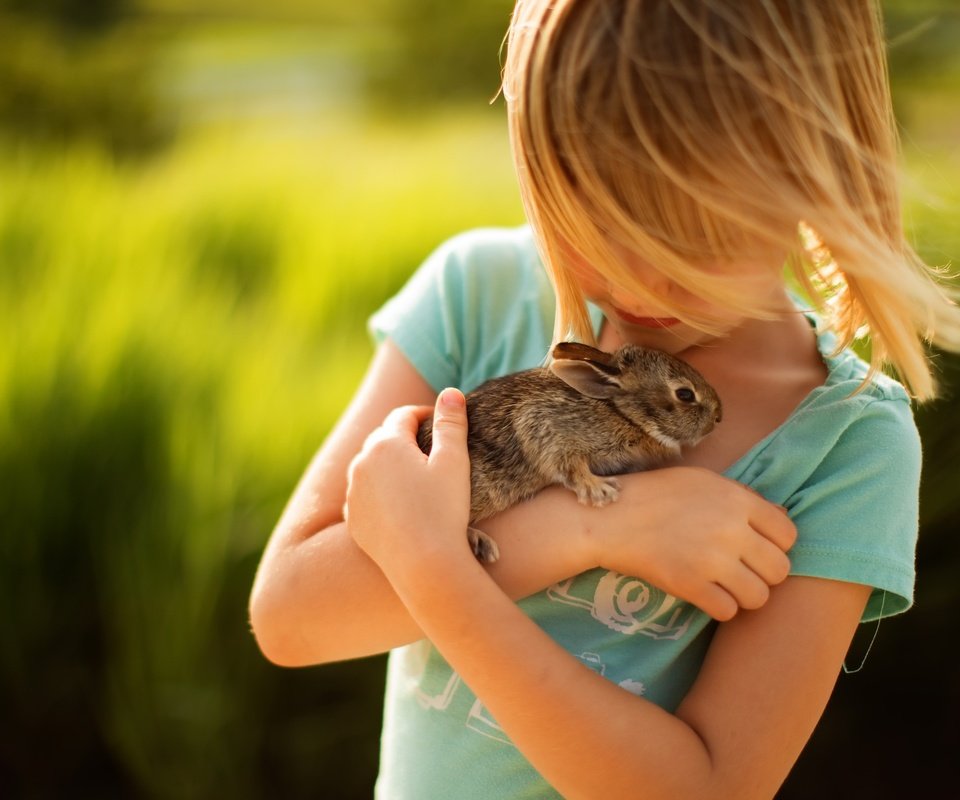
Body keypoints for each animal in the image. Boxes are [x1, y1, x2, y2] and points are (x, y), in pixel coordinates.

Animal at [414, 342, 720, 564]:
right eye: (684, 394)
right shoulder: (546, 424)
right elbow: (569, 464)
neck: (622, 412)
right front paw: (599, 490)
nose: (719, 417)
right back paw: (481, 543)